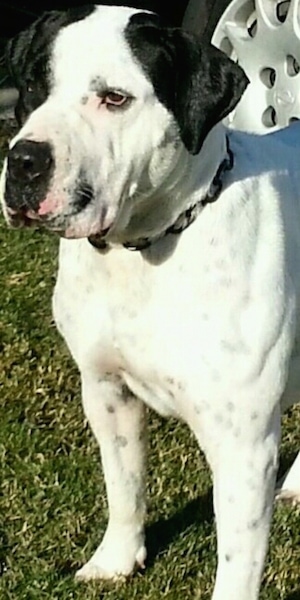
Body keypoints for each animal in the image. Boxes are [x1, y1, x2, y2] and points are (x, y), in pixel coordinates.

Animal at [0, 2, 300, 596]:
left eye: (115, 98)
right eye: (34, 85)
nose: (25, 160)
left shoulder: (243, 445)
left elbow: (237, 561)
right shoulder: (105, 390)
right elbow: (125, 484)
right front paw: (117, 559)